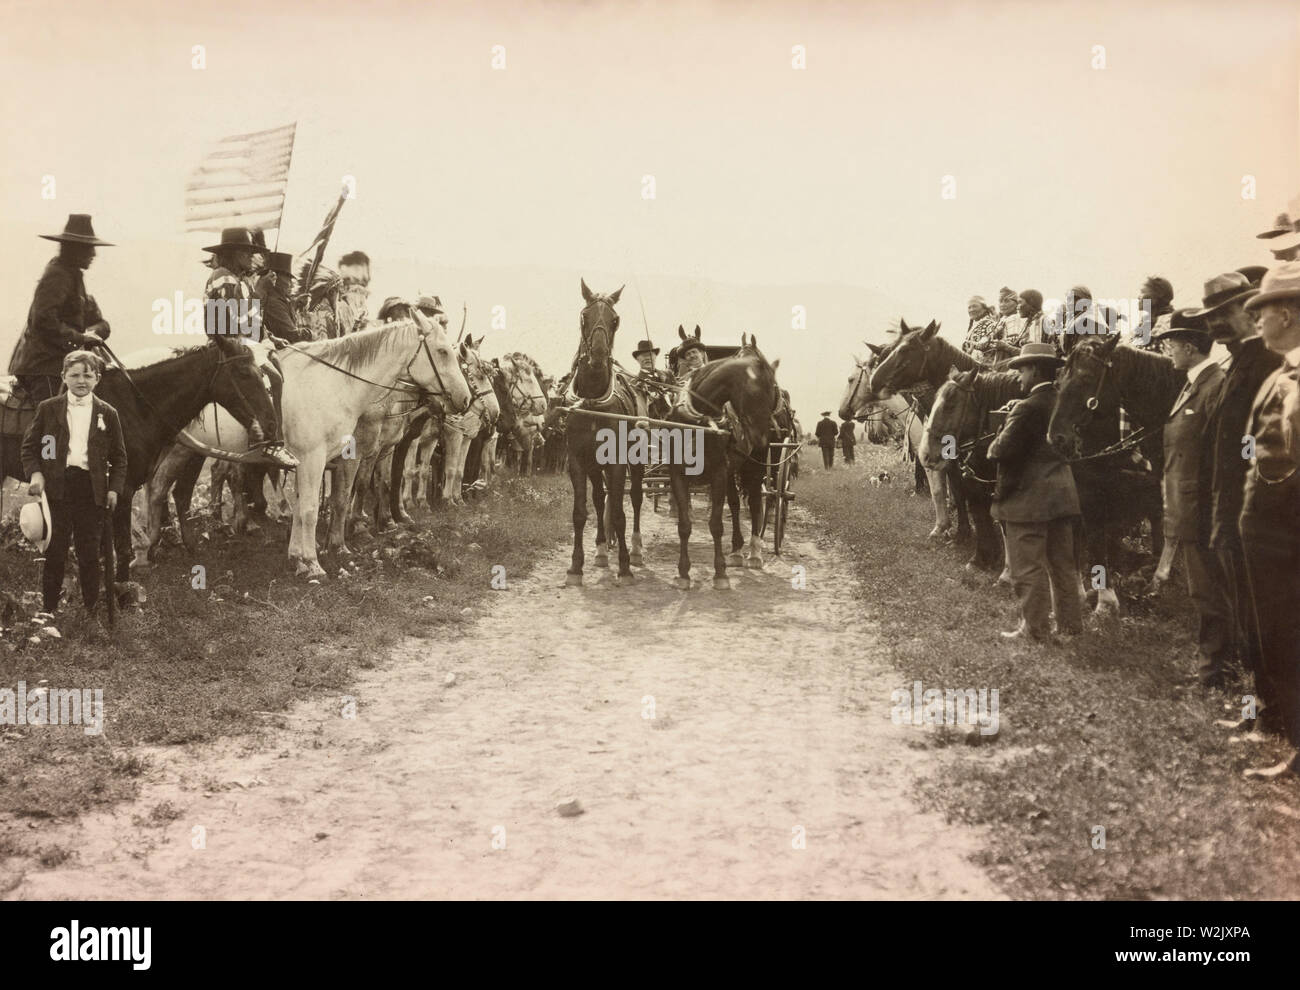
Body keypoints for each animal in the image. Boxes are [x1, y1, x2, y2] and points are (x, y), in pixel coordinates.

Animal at [561, 278, 637, 582]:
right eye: (585, 316)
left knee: (635, 498)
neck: (592, 400)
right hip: (595, 465)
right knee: (600, 498)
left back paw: (635, 549)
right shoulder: (577, 461)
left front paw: (625, 565)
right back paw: (603, 549)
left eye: (615, 320)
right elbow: (581, 512)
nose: (597, 356)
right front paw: (576, 565)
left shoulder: (617, 462)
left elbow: (619, 512)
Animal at [665, 335, 774, 589]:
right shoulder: (678, 474)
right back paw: (736, 550)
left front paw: (720, 573)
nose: (762, 437)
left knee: (755, 502)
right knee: (734, 504)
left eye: (774, 389)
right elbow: (684, 525)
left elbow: (715, 525)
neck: (698, 421)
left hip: (752, 466)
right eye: (761, 389)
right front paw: (683, 573)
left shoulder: (717, 473)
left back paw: (754, 553)